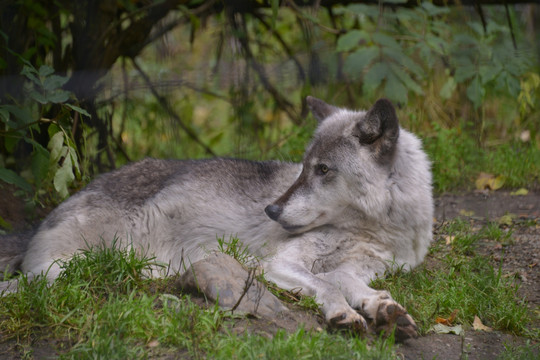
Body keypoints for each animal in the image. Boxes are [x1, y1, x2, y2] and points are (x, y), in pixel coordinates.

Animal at [0, 96, 430, 340]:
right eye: (304, 168)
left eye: (323, 170)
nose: (271, 210)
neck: (373, 229)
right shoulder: (276, 263)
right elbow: (327, 284)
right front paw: (343, 312)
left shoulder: (362, 267)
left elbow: (349, 280)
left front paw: (384, 308)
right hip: (64, 272)